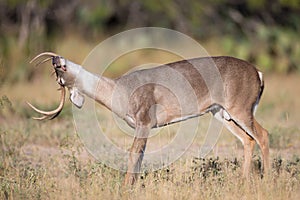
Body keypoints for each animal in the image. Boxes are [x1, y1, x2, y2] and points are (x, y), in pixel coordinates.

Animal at [27, 51, 268, 184]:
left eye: (61, 73)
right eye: (59, 79)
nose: (54, 59)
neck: (120, 91)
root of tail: (258, 72)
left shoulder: (144, 120)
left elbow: (133, 153)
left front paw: (125, 187)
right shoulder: (144, 125)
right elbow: (140, 155)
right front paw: (132, 186)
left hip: (240, 107)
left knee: (263, 135)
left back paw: (267, 180)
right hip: (221, 112)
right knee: (249, 139)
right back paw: (244, 180)